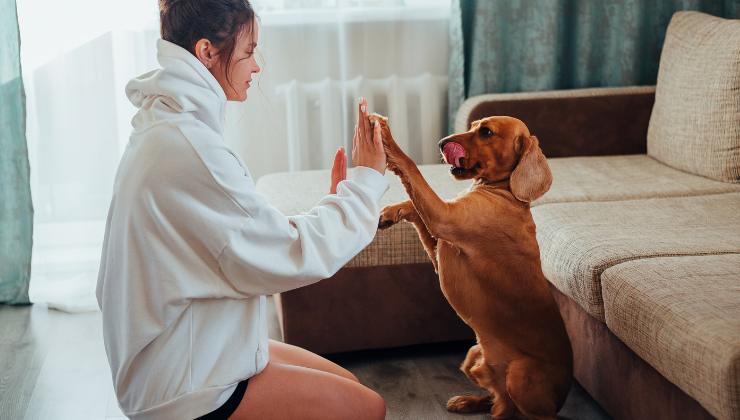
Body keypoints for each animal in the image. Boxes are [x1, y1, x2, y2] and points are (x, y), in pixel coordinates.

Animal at [376, 115, 572, 420]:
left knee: (526, 412)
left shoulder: (443, 217)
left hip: (520, 375)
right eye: (473, 125)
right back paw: (468, 402)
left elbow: (411, 169)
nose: (442, 143)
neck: (505, 192)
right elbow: (413, 205)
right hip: (473, 354)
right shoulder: (440, 245)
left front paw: (388, 139)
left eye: (486, 132)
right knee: (497, 399)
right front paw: (390, 213)